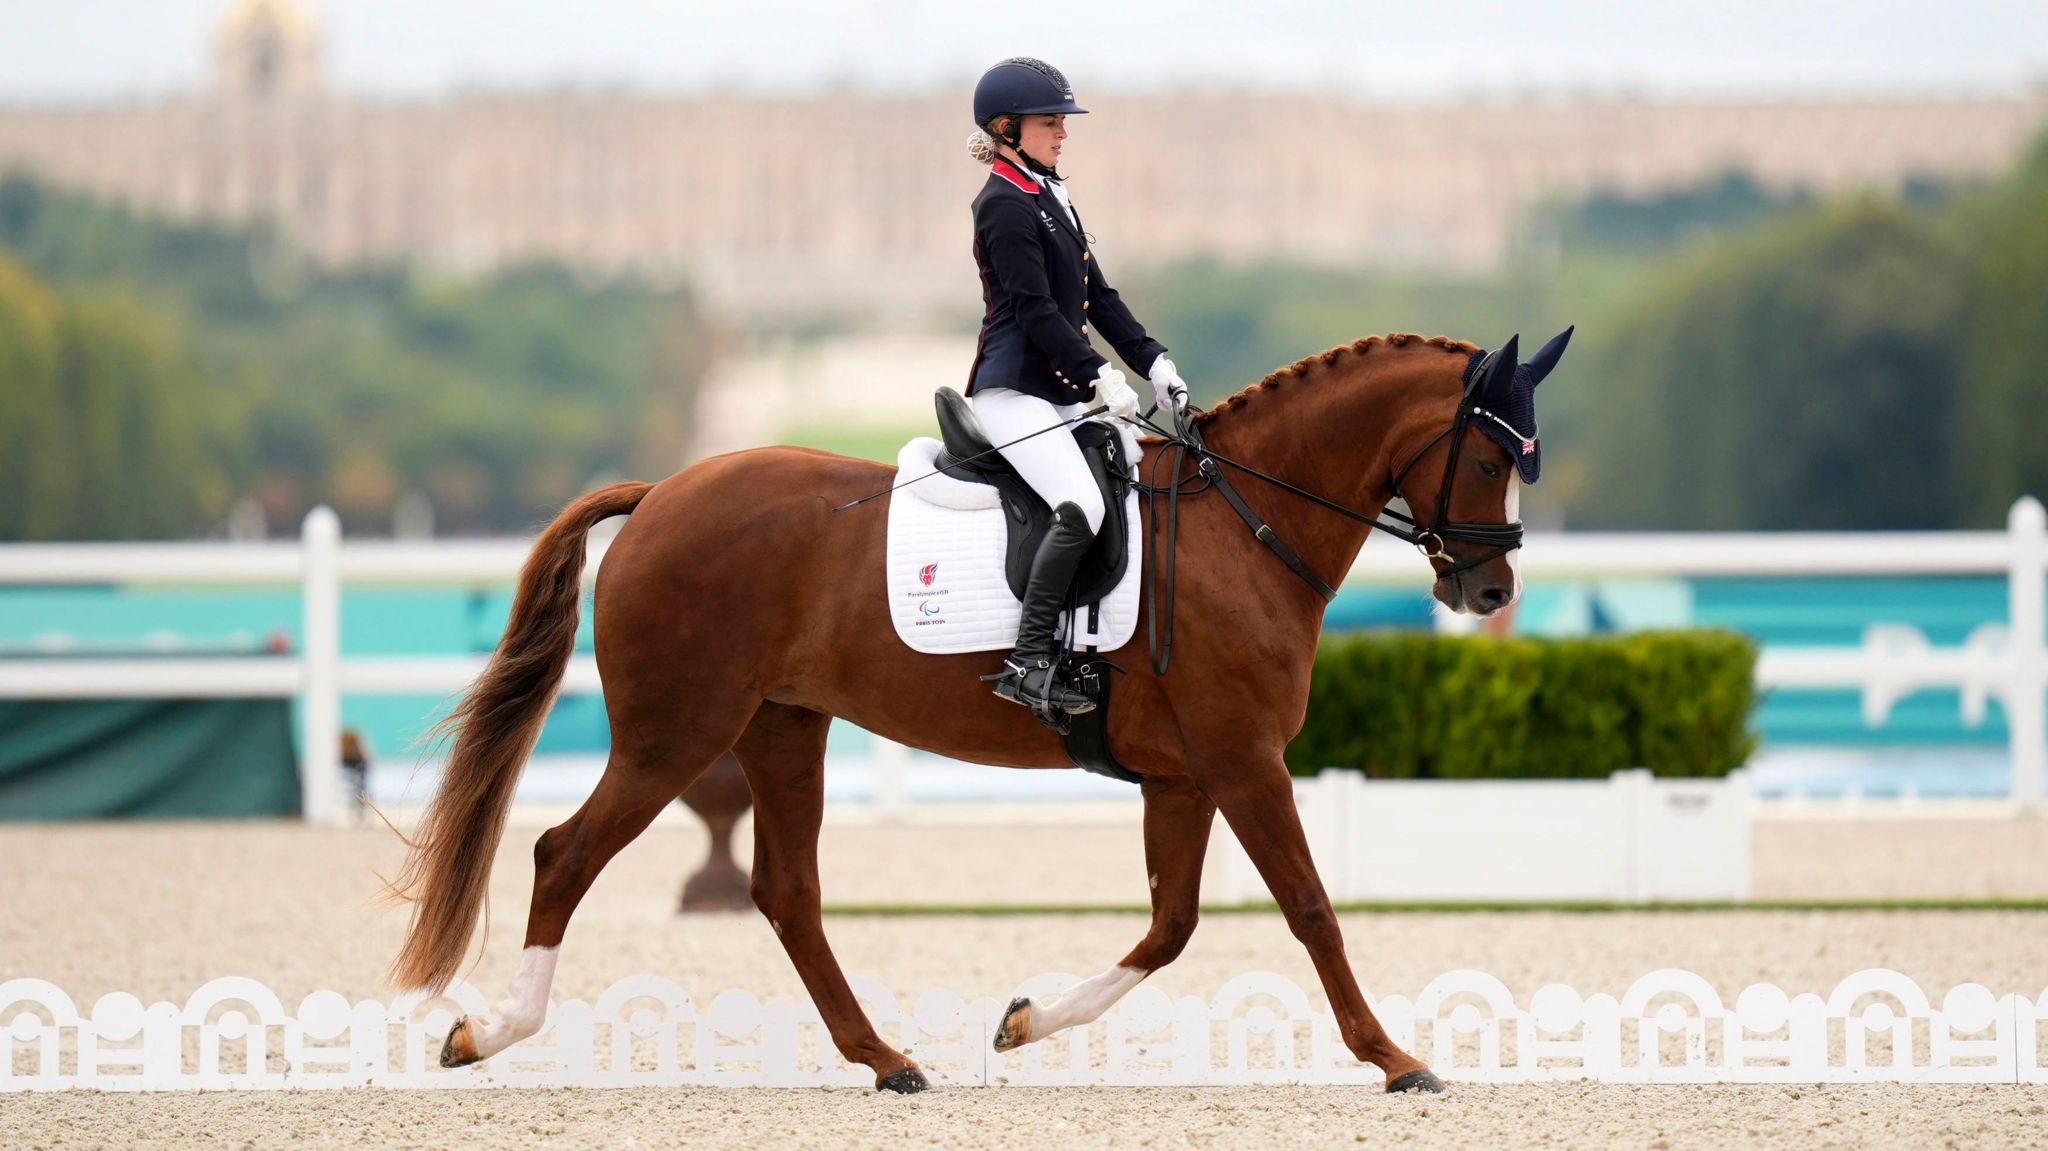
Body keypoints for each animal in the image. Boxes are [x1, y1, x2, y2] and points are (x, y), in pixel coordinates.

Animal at [385, 327, 1564, 1089]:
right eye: (1491, 453)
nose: (1489, 591)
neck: (1245, 523)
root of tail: (662, 493)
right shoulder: (1242, 760)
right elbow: (1311, 908)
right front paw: (1395, 1058)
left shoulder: (1184, 775)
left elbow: (1171, 924)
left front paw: (1027, 1020)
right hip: (677, 732)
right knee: (565, 853)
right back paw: (488, 1032)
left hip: (780, 726)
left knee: (786, 889)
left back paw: (886, 1059)